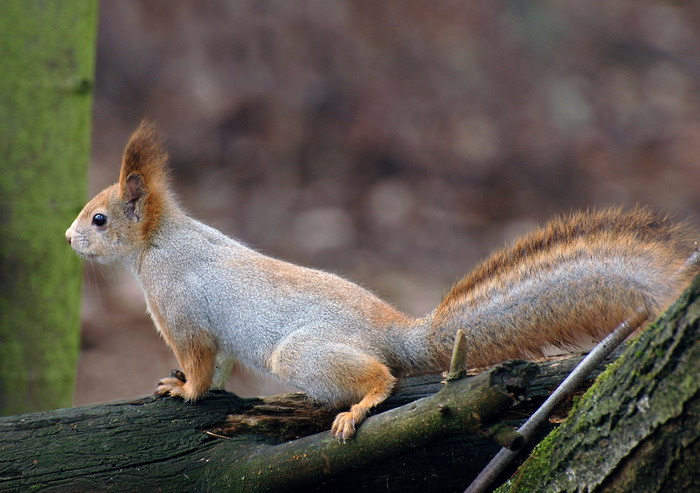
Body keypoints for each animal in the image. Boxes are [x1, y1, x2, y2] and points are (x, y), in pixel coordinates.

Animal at [66, 120, 699, 439]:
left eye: (99, 219)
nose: (69, 238)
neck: (159, 244)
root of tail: (398, 335)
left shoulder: (180, 311)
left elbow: (200, 365)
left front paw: (183, 388)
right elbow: (218, 366)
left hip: (304, 354)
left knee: (384, 378)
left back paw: (359, 407)